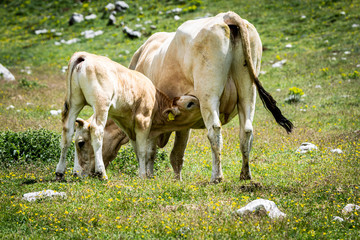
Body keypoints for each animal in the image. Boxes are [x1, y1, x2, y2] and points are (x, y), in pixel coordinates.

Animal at [70, 11, 292, 183]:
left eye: (80, 143)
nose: (78, 174)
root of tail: (226, 16)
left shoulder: (150, 119)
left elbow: (151, 151)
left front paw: (150, 176)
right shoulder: (180, 120)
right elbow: (173, 154)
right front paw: (174, 179)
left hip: (208, 92)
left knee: (215, 130)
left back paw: (217, 177)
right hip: (248, 90)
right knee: (246, 130)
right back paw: (245, 174)